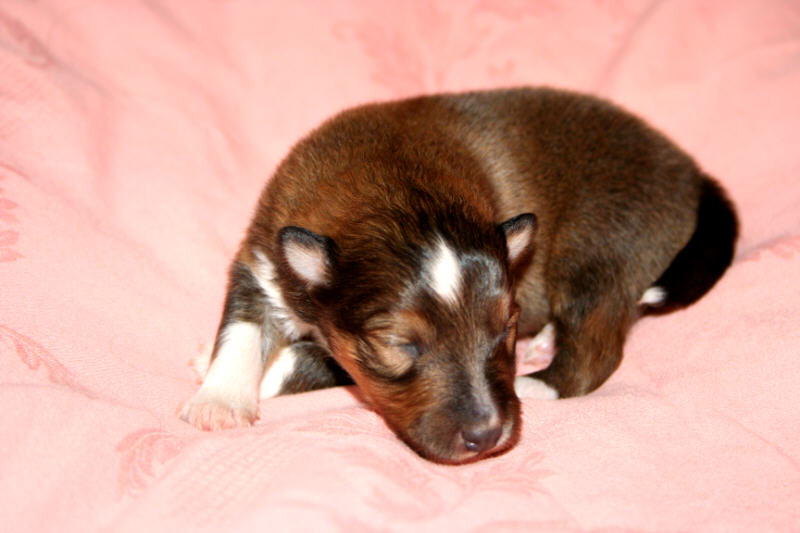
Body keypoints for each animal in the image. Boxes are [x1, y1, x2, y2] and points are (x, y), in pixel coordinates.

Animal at [179, 87, 738, 464]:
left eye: (503, 329)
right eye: (402, 345)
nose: (487, 435)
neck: (393, 183)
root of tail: (693, 175)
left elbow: (314, 359)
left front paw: (254, 371)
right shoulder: (262, 259)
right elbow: (241, 329)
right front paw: (219, 398)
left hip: (599, 244)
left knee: (597, 347)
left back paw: (541, 383)